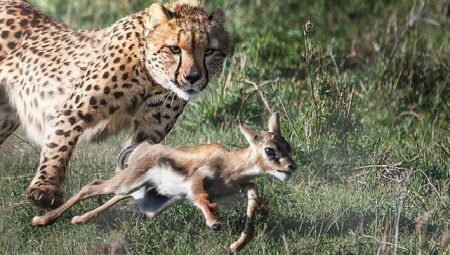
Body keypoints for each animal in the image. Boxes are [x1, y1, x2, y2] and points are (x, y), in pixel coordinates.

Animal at [0, 0, 229, 209]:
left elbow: (137, 159)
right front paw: (45, 189)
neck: (151, 77)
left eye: (209, 51)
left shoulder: (149, 128)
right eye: (174, 49)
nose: (192, 78)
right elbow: (59, 145)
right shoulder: (74, 110)